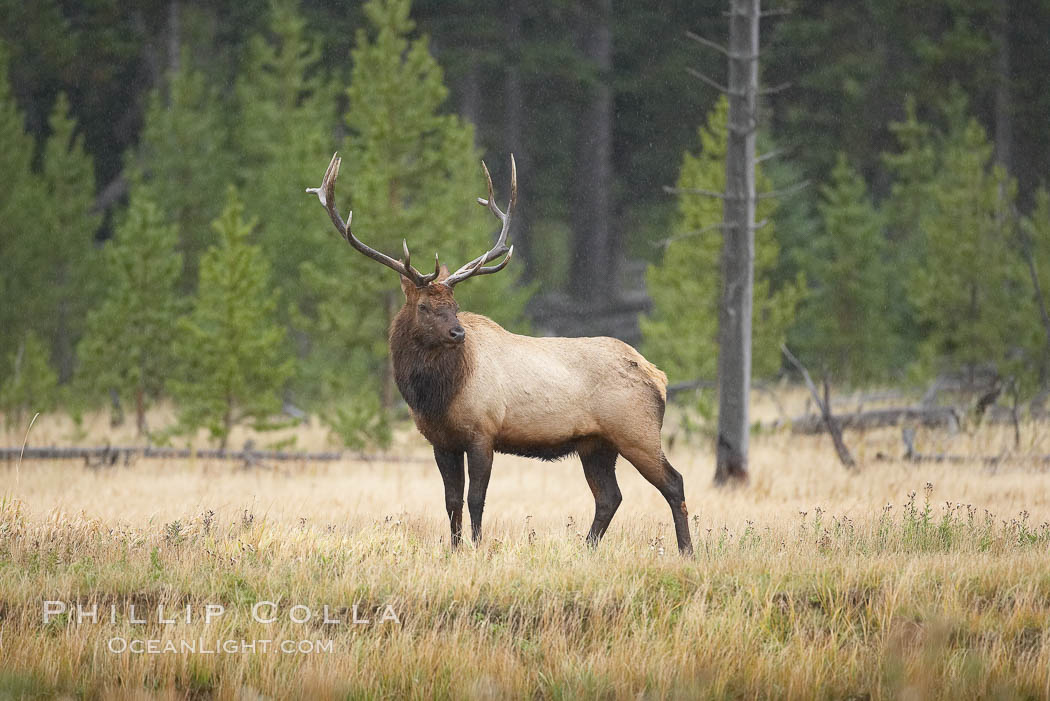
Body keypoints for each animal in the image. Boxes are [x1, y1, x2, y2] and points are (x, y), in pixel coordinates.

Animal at [306, 152, 692, 554]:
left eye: (456, 306)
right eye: (425, 306)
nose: (458, 333)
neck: (436, 395)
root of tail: (659, 376)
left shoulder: (483, 432)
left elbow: (476, 498)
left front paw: (476, 547)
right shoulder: (441, 441)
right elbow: (451, 500)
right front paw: (455, 548)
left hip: (636, 430)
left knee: (673, 482)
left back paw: (686, 550)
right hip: (596, 444)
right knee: (609, 497)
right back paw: (587, 548)